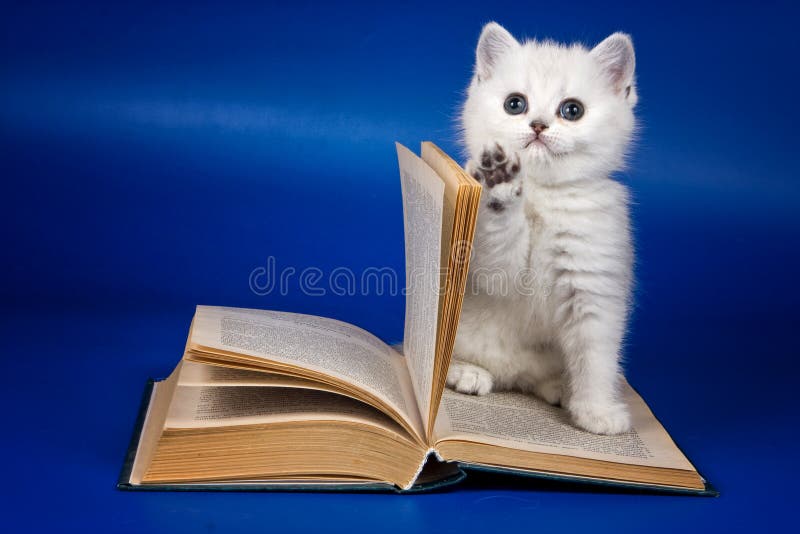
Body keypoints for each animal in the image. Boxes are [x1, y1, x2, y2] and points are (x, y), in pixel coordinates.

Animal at [450, 23, 636, 438]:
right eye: (515, 104)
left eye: (572, 110)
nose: (537, 125)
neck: (543, 193)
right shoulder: (498, 272)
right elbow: (500, 248)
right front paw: (499, 183)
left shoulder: (593, 287)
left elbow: (596, 357)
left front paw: (597, 412)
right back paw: (465, 373)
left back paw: (561, 389)